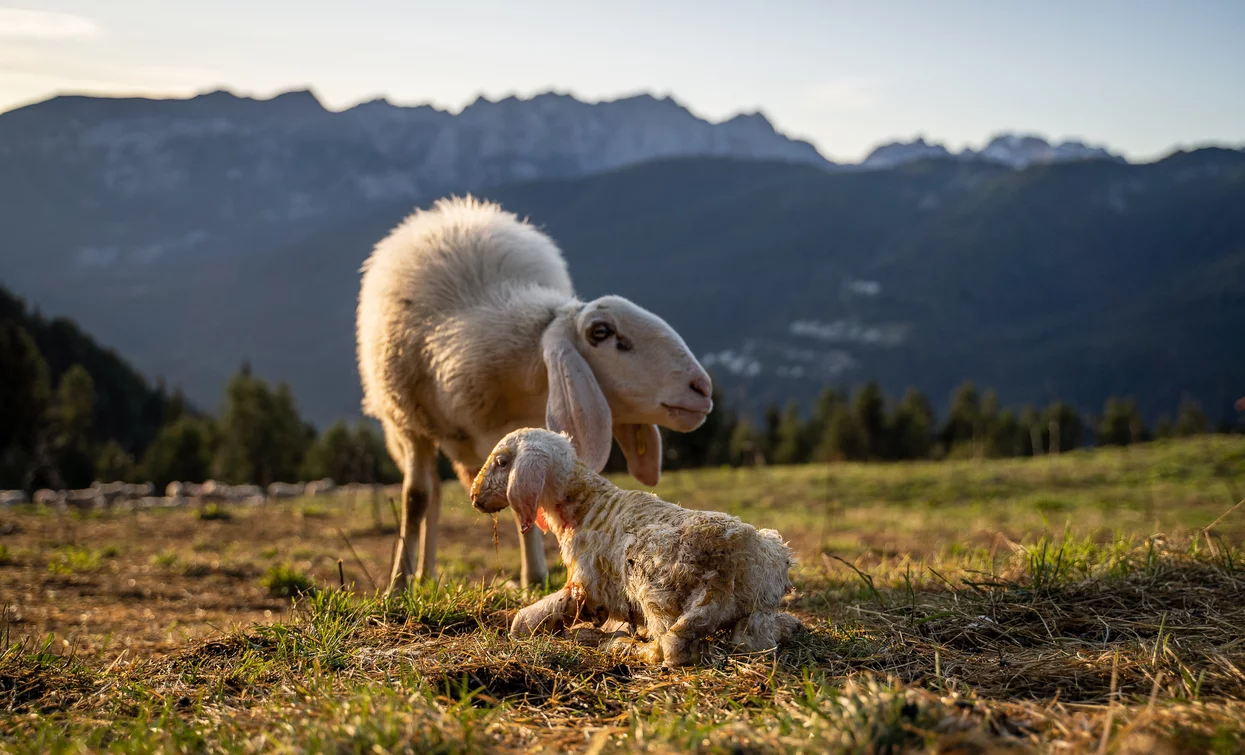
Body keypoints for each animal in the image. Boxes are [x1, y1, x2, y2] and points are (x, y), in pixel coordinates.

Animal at [356, 191, 717, 595]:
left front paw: (534, 580)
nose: (702, 389)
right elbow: (414, 499)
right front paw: (397, 585)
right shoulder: (409, 425)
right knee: (430, 493)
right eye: (601, 332)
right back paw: (420, 574)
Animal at [468, 428, 806, 672]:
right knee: (753, 639)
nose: (473, 496)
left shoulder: (585, 583)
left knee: (669, 648)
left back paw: (619, 644)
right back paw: (787, 625)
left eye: (501, 461)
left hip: (653, 582)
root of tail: (733, 567)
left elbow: (539, 613)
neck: (584, 503)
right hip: (759, 598)